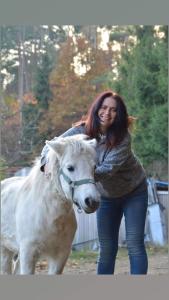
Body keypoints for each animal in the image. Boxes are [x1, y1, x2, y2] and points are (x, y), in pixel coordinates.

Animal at [0, 135, 100, 276]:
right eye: (70, 167)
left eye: (94, 167)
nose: (92, 201)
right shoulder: (28, 254)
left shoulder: (60, 256)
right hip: (5, 250)